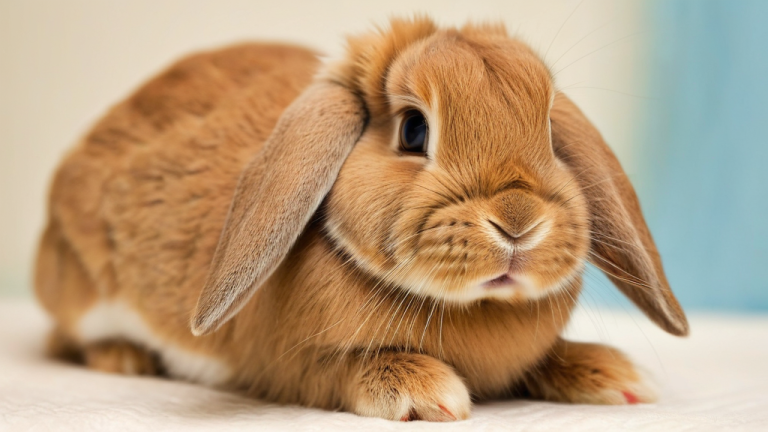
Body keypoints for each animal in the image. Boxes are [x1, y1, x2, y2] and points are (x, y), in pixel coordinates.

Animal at [34, 16, 689, 422]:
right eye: (414, 130)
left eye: (551, 133)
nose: (519, 221)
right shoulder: (287, 368)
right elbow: (341, 369)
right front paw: (426, 393)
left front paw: (615, 376)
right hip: (81, 289)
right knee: (66, 338)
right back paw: (126, 357)